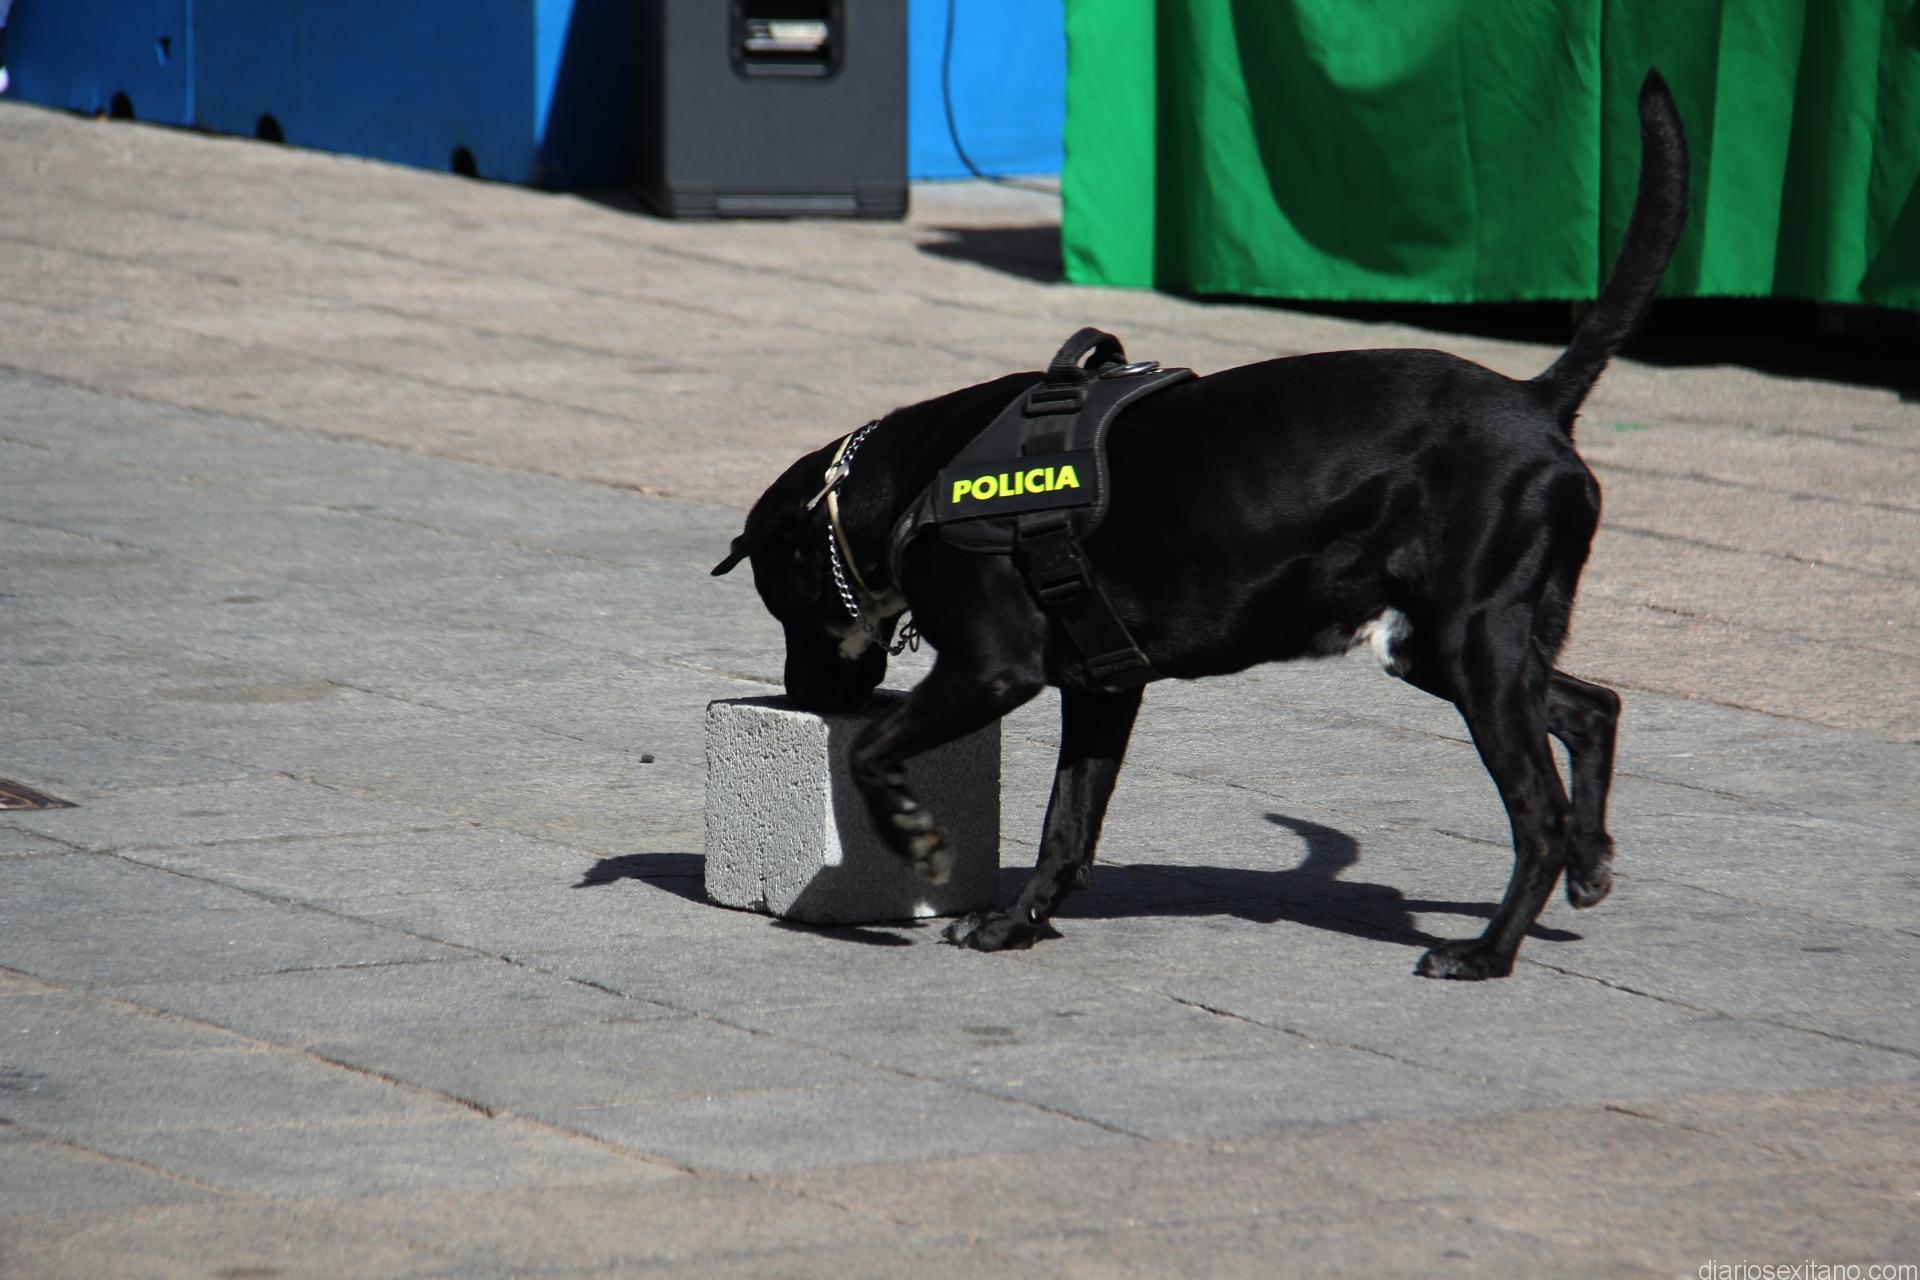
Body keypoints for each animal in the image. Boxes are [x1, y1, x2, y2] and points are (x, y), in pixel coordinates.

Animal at [714, 71, 1688, 979]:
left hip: (1469, 644)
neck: (910, 482)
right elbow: (1067, 827)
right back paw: (1590, 863)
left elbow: (879, 750)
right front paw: (1015, 923)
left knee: (1539, 811)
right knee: (1593, 708)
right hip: (1440, 646)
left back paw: (1489, 950)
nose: (800, 695)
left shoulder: (994, 668)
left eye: (781, 603)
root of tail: (1538, 397)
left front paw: (915, 836)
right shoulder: (1102, 688)